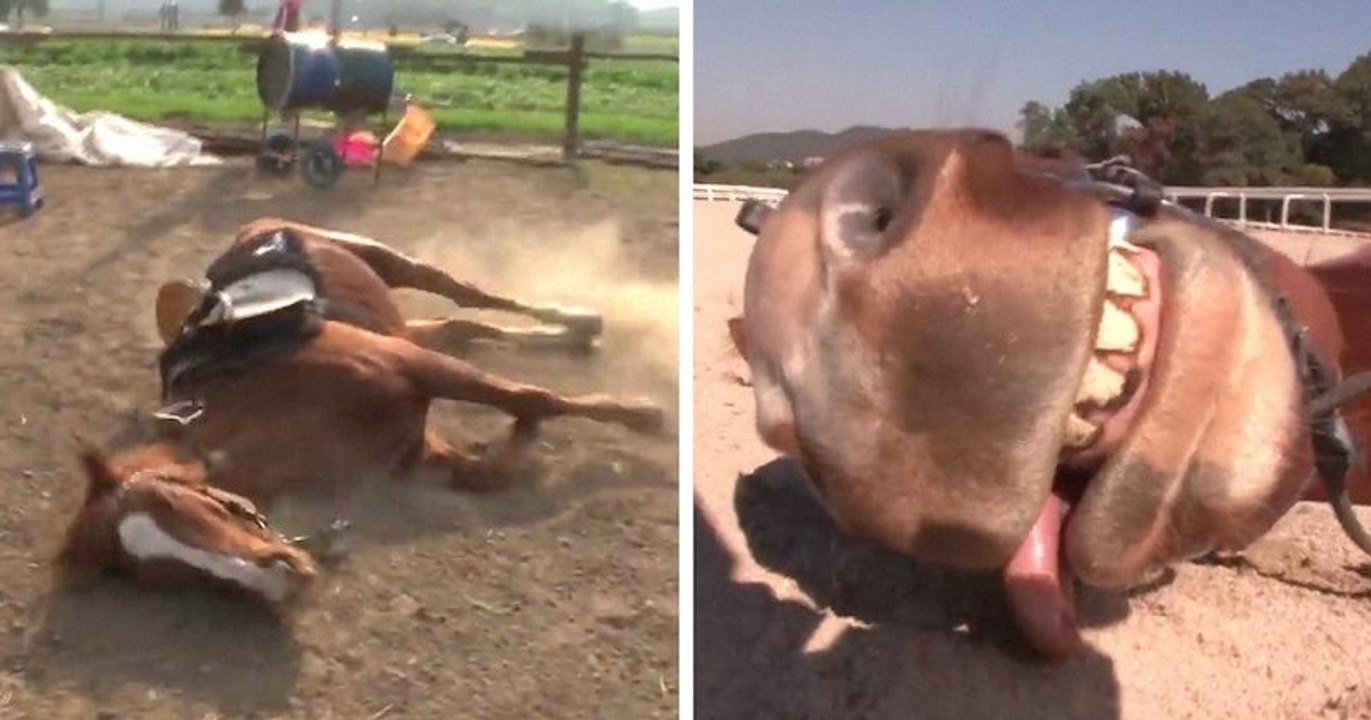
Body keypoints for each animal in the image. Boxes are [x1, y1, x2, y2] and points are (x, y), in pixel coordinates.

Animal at [57, 218, 666, 605]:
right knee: (462, 325)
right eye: (162, 576)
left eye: (184, 506)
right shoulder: (415, 443)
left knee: (466, 294)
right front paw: (518, 443)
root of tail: (256, 230)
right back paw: (568, 334)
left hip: (388, 263)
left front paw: (641, 414)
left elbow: (533, 398)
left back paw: (578, 318)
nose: (283, 582)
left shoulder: (412, 364)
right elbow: (488, 467)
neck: (267, 403)